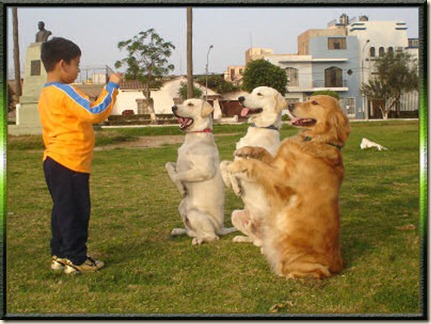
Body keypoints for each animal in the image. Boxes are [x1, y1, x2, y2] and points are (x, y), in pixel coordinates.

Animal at [165, 98, 236, 246]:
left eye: (190, 104)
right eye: (183, 102)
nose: (173, 107)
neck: (196, 136)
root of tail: (222, 228)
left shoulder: (205, 170)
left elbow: (178, 176)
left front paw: (181, 188)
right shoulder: (178, 164)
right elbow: (168, 165)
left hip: (196, 215)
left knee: (212, 236)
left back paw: (199, 240)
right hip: (181, 207)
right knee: (191, 231)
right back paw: (179, 231)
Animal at [221, 86, 288, 246]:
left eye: (259, 94)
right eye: (252, 91)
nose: (240, 98)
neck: (261, 128)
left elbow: (232, 169)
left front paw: (235, 187)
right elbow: (224, 164)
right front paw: (228, 181)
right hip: (236, 214)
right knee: (254, 239)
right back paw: (241, 238)